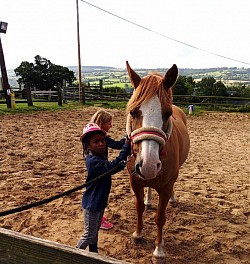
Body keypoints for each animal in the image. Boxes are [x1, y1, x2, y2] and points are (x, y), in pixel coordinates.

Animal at [126, 60, 188, 262]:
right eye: (133, 112)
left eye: (167, 114)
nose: (149, 165)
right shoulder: (135, 180)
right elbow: (138, 207)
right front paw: (138, 235)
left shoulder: (166, 186)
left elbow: (160, 217)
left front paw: (158, 251)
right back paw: (149, 200)